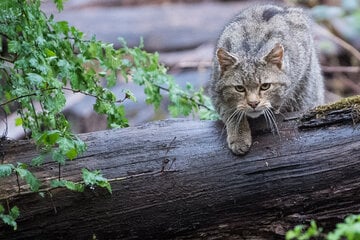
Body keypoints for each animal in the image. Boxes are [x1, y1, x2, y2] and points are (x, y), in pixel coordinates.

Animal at [210, 5, 324, 156]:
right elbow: (230, 112)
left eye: (265, 86)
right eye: (239, 88)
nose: (253, 103)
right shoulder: (215, 91)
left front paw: (274, 107)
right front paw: (239, 136)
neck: (251, 51)